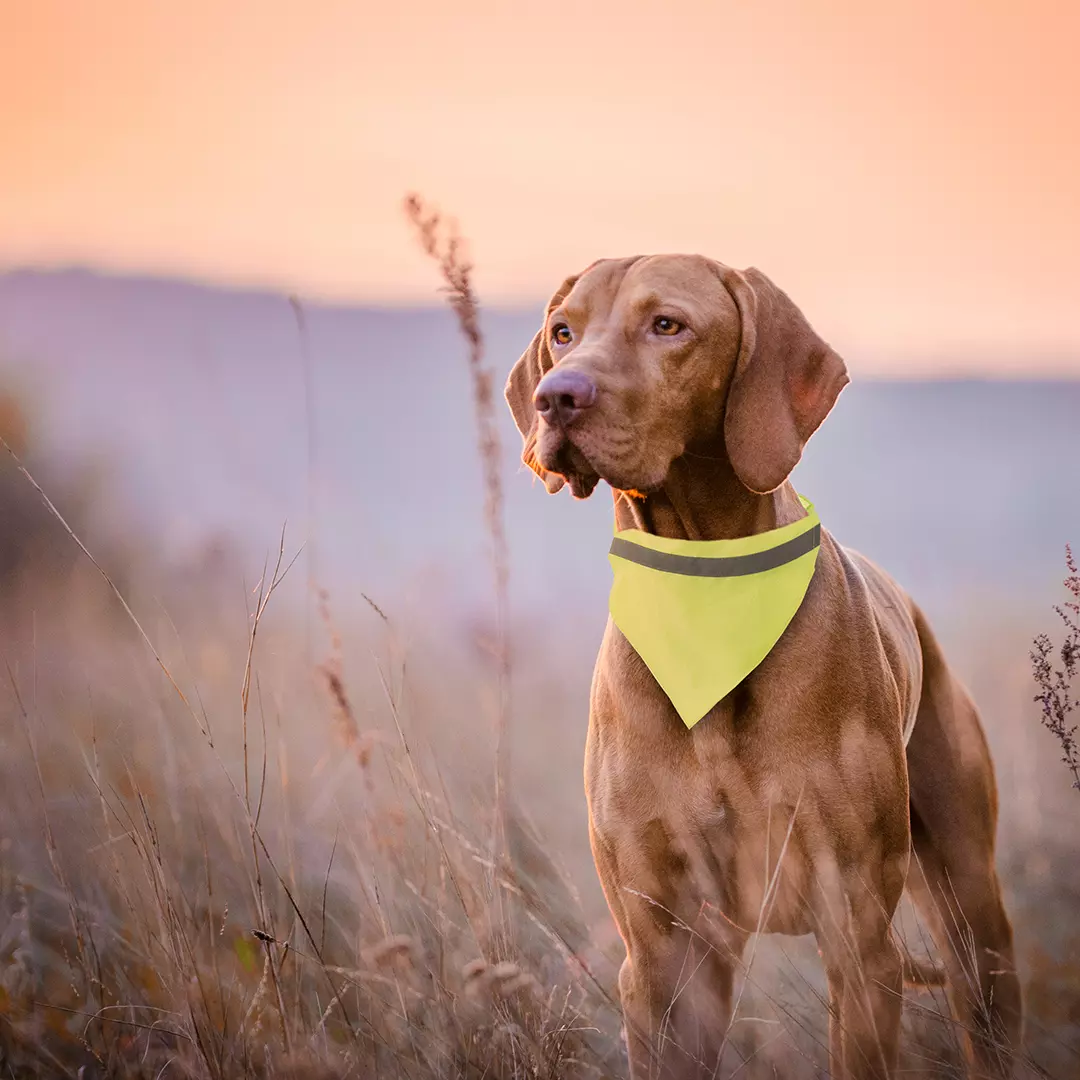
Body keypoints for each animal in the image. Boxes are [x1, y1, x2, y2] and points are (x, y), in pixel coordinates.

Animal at [503, 254, 1019, 1080]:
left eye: (667, 325)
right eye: (563, 332)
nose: (557, 397)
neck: (706, 595)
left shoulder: (857, 937)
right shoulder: (664, 952)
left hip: (973, 912)